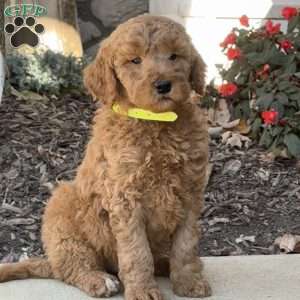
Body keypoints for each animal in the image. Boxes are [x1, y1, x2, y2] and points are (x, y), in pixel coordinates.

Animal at [0, 15, 211, 298]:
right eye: (135, 60)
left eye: (174, 56)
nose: (164, 85)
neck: (157, 123)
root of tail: (50, 262)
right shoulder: (125, 197)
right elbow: (136, 251)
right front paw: (143, 290)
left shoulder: (190, 192)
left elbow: (186, 244)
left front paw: (188, 281)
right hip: (63, 212)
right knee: (72, 266)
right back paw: (98, 279)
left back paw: (165, 264)